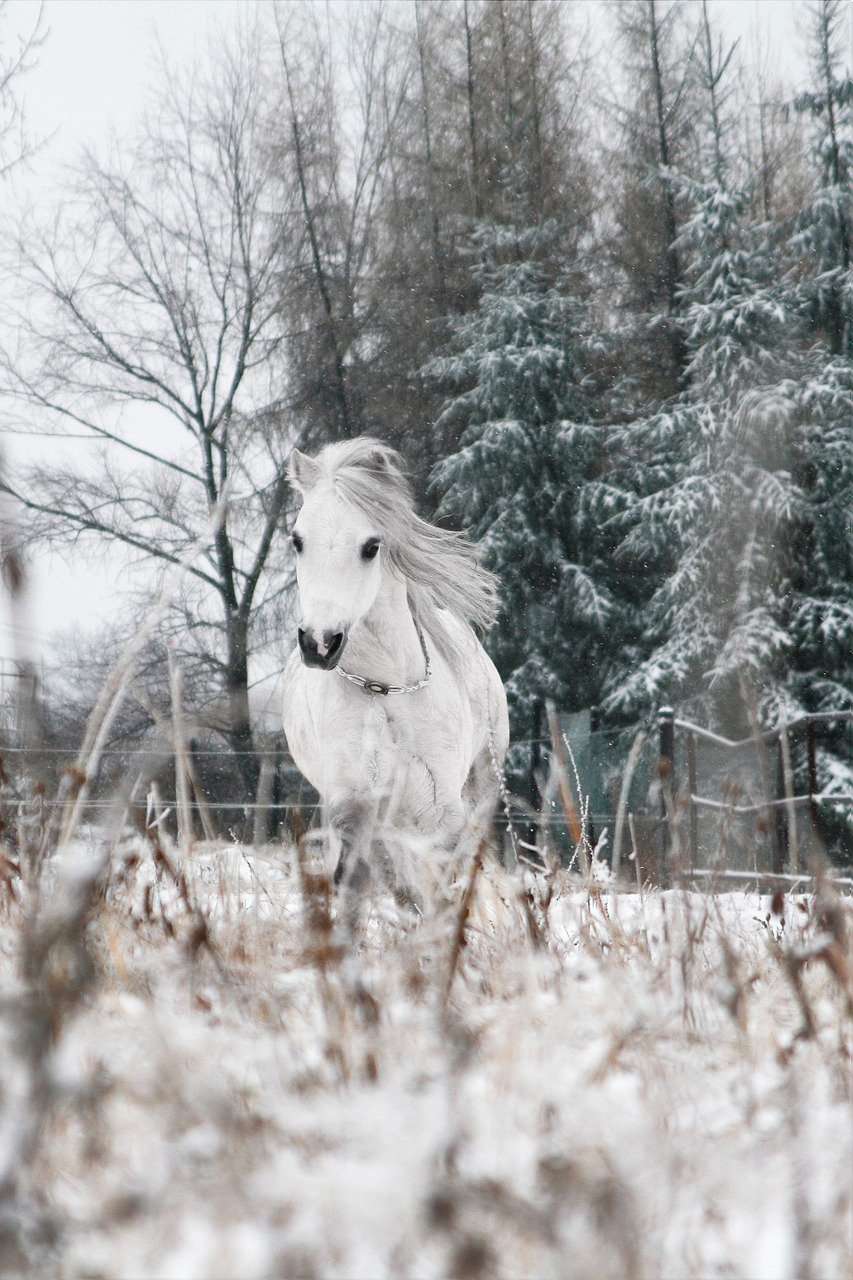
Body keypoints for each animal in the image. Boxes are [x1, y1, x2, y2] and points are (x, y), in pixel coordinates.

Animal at [280, 435, 504, 896]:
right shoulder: (354, 805)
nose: (319, 643)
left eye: (371, 546)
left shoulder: (441, 810)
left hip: (482, 785)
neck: (386, 691)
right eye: (297, 540)